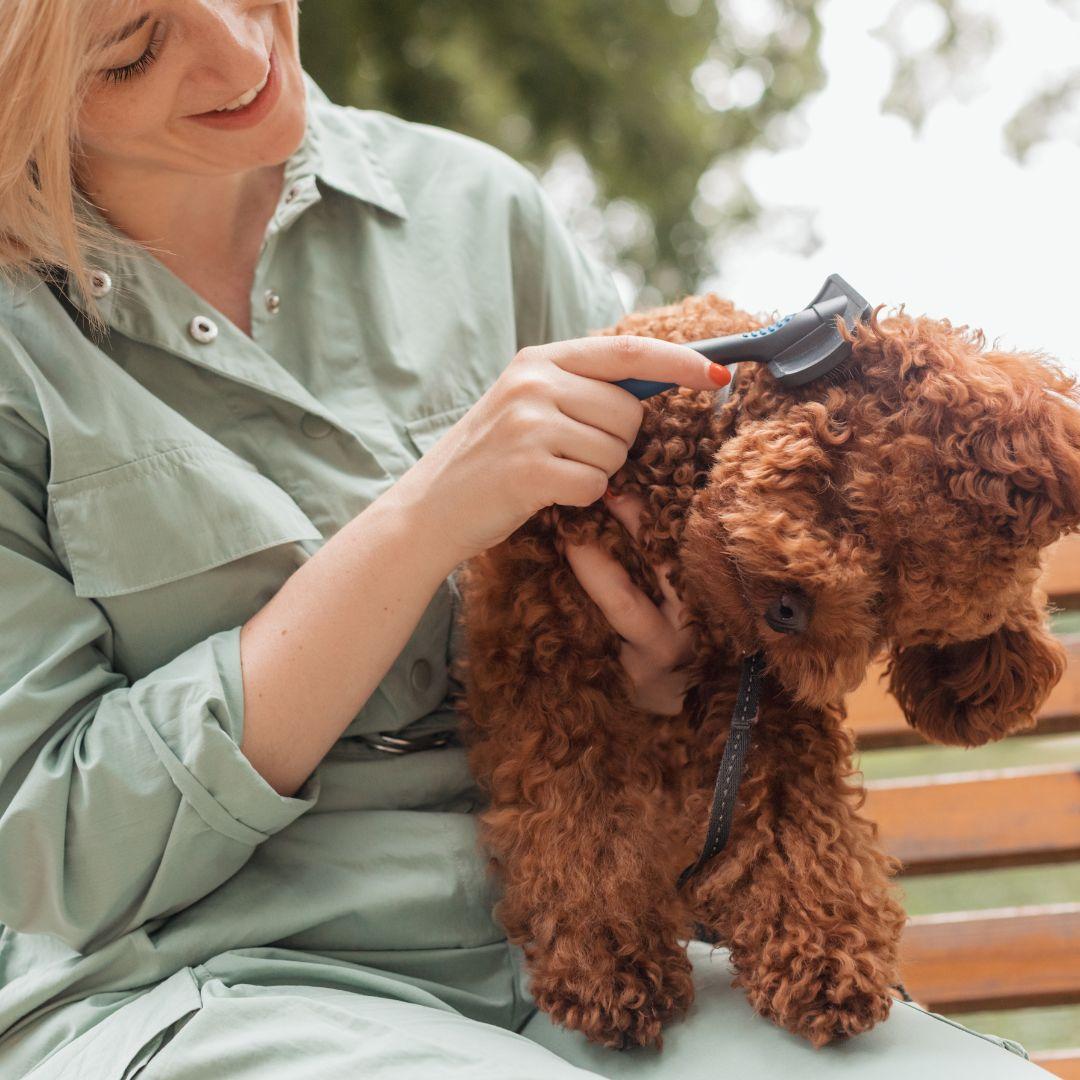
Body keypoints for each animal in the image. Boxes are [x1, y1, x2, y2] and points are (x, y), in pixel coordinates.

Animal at [447, 291, 1080, 1049]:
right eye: (858, 501)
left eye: (896, 609)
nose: (789, 611)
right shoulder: (555, 664)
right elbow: (581, 816)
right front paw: (611, 965)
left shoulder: (769, 706)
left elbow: (797, 824)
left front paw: (828, 956)